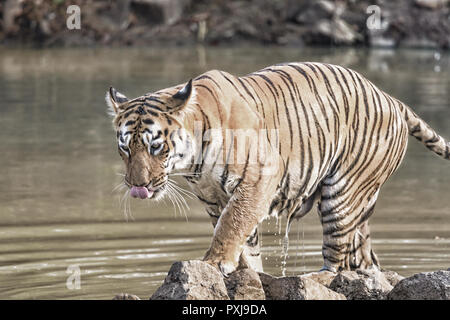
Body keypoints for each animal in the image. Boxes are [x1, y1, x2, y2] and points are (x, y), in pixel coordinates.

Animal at [106, 62, 450, 276]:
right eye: (125, 147)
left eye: (155, 146)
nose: (138, 186)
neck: (194, 162)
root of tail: (390, 97)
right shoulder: (213, 197)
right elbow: (244, 241)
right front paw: (245, 272)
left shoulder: (259, 178)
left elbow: (231, 225)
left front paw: (214, 262)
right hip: (360, 208)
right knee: (365, 259)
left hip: (342, 195)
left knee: (336, 261)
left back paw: (315, 277)